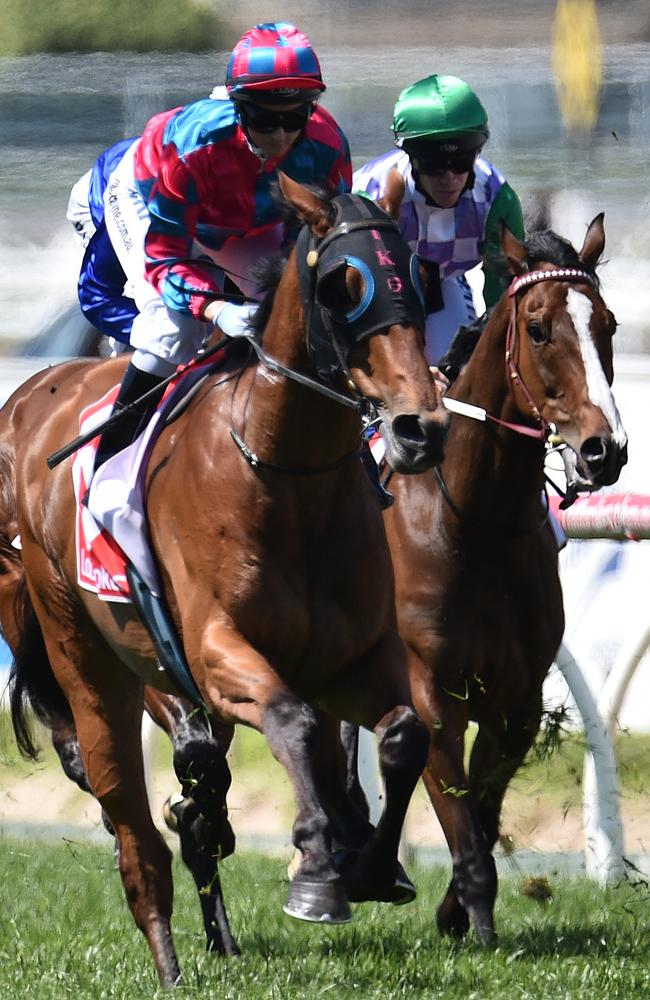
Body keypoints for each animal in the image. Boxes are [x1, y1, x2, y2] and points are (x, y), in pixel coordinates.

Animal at [1, 172, 446, 984]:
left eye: (416, 278)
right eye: (345, 285)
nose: (418, 429)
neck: (286, 473)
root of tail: (29, 395)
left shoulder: (355, 658)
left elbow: (402, 735)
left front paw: (369, 864)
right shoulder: (214, 653)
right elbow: (293, 723)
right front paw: (315, 872)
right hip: (83, 653)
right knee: (130, 818)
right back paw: (170, 957)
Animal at [372, 213, 624, 944]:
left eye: (608, 324)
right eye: (537, 327)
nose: (604, 450)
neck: (473, 522)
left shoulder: (518, 699)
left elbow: (481, 811)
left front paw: (455, 909)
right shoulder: (432, 689)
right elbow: (455, 807)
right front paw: (476, 915)